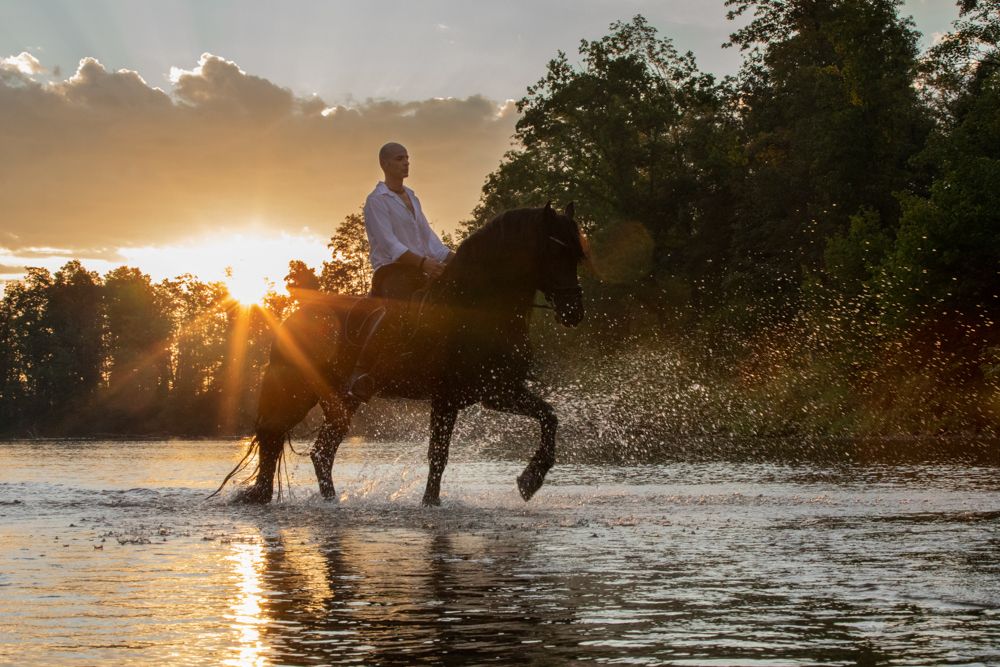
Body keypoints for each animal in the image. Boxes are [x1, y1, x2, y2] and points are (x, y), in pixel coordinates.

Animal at [221, 204, 584, 506]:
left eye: (578, 255)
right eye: (556, 251)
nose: (574, 312)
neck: (477, 309)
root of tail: (292, 317)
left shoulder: (496, 391)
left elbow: (550, 417)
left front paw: (530, 480)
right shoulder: (450, 396)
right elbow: (438, 455)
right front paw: (432, 503)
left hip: (341, 401)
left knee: (320, 452)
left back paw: (329, 501)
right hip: (296, 391)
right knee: (273, 438)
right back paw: (268, 497)